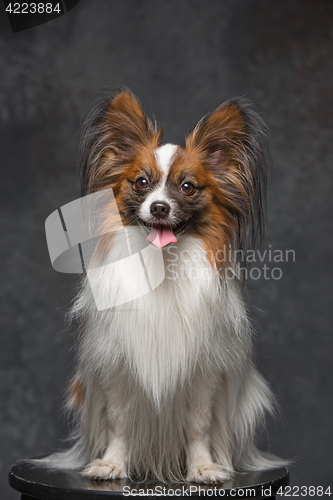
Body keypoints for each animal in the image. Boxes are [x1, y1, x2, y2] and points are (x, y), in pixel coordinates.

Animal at [42, 88, 284, 482]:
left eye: (187, 187)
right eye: (141, 183)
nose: (158, 207)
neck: (162, 265)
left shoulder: (203, 372)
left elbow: (199, 425)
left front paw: (202, 468)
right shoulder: (119, 367)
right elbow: (119, 422)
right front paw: (112, 464)